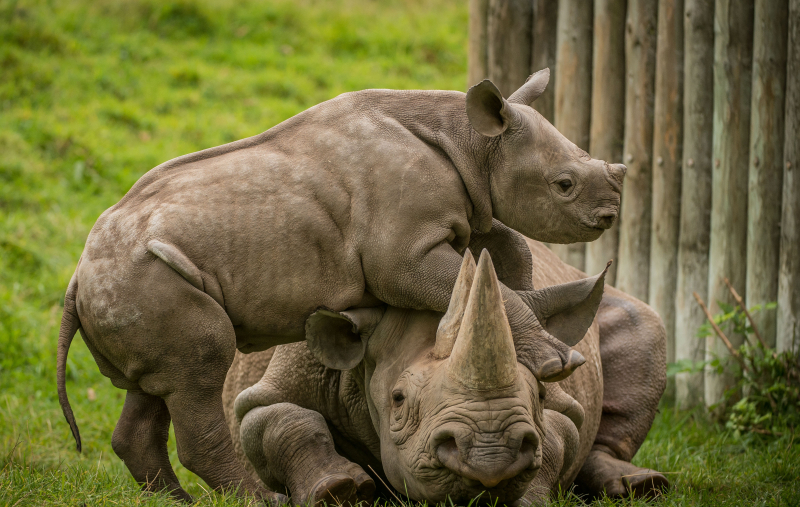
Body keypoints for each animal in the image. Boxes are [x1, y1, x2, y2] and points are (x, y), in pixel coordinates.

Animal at [56, 69, 626, 502]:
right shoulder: (404, 256)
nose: (610, 214)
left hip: (131, 284)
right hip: (142, 278)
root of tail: (76, 278)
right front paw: (557, 359)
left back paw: (176, 499)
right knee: (198, 369)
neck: (470, 142)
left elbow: (506, 245)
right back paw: (262, 499)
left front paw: (525, 290)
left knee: (157, 384)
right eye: (564, 185)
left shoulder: (463, 215)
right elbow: (461, 272)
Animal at [225, 242, 668, 505]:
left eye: (540, 397)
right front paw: (338, 492)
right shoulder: (275, 389)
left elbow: (559, 438)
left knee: (644, 322)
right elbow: (279, 419)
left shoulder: (559, 388)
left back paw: (640, 486)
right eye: (398, 400)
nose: (491, 458)